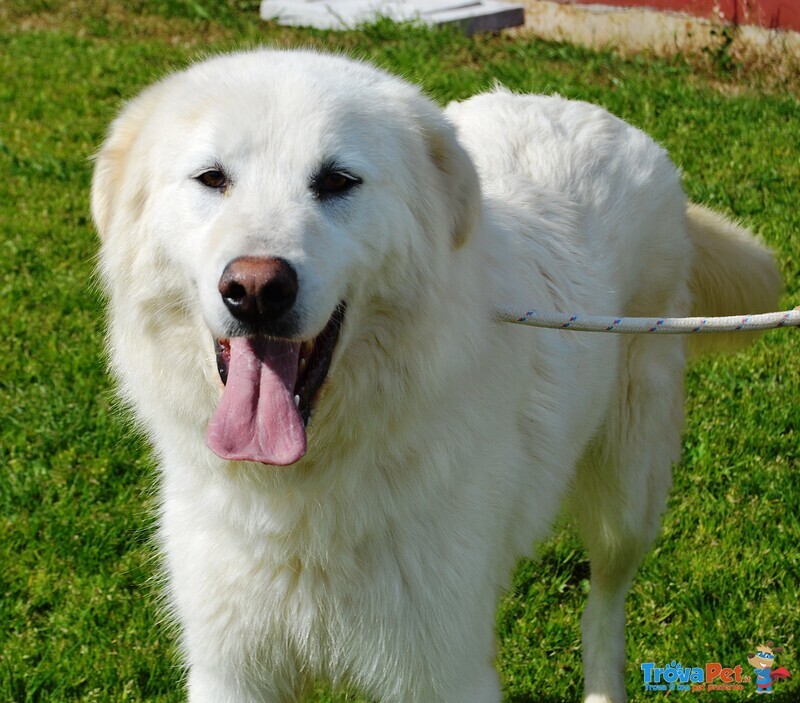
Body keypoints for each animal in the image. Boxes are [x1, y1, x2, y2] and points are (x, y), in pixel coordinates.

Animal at [90, 49, 780, 703]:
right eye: (212, 179)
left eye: (337, 181)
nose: (256, 289)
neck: (301, 496)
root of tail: (606, 120)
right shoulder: (233, 672)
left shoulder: (443, 670)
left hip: (627, 496)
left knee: (605, 606)